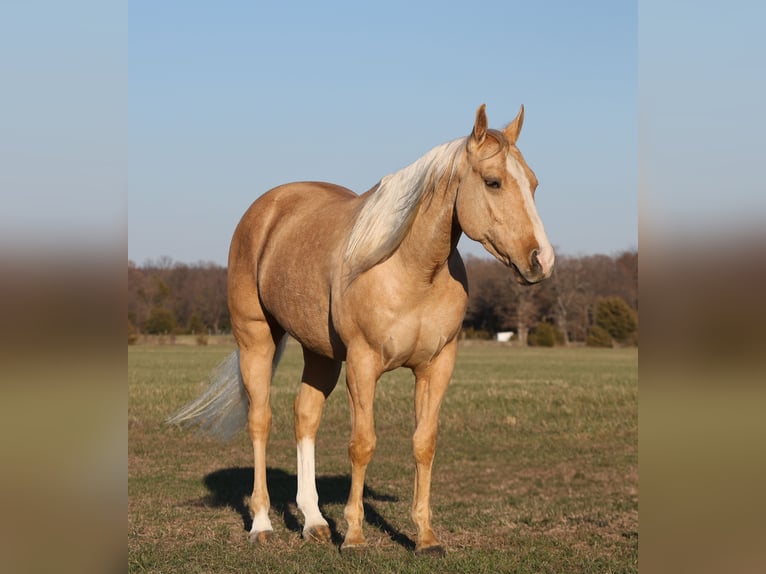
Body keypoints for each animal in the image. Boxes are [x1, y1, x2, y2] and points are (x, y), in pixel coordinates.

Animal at [168, 104, 556, 560]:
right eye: (494, 182)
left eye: (533, 183)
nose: (542, 260)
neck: (411, 269)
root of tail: (268, 208)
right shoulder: (363, 363)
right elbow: (362, 443)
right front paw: (353, 536)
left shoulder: (436, 367)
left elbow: (424, 443)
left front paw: (425, 537)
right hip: (257, 340)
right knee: (260, 420)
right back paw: (262, 525)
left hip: (320, 354)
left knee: (305, 417)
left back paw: (314, 522)